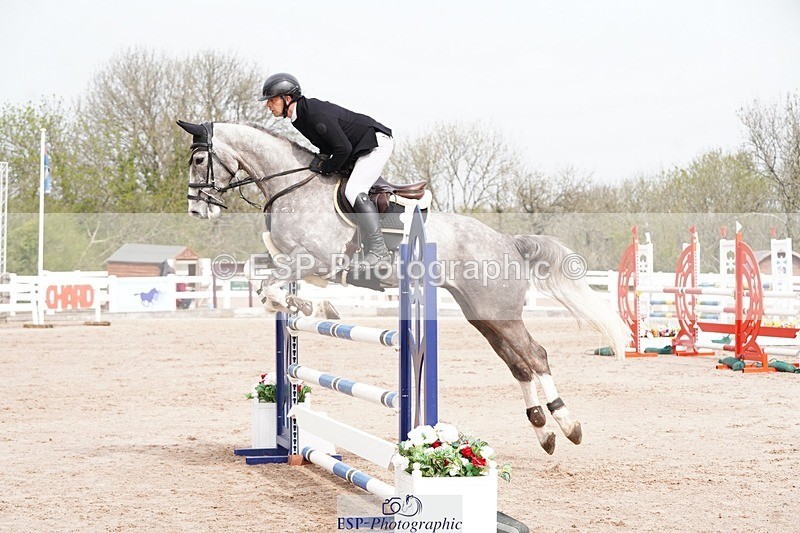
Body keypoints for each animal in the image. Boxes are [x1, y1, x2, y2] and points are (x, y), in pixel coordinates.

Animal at [177, 120, 630, 455]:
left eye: (199, 158)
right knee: (517, 363)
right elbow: (268, 291)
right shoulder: (297, 263)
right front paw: (305, 307)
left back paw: (567, 424)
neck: (293, 187)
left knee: (535, 355)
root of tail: (508, 241)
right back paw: (544, 431)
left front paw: (314, 309)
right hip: (482, 314)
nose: (197, 209)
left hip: (499, 311)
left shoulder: (317, 259)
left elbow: (274, 289)